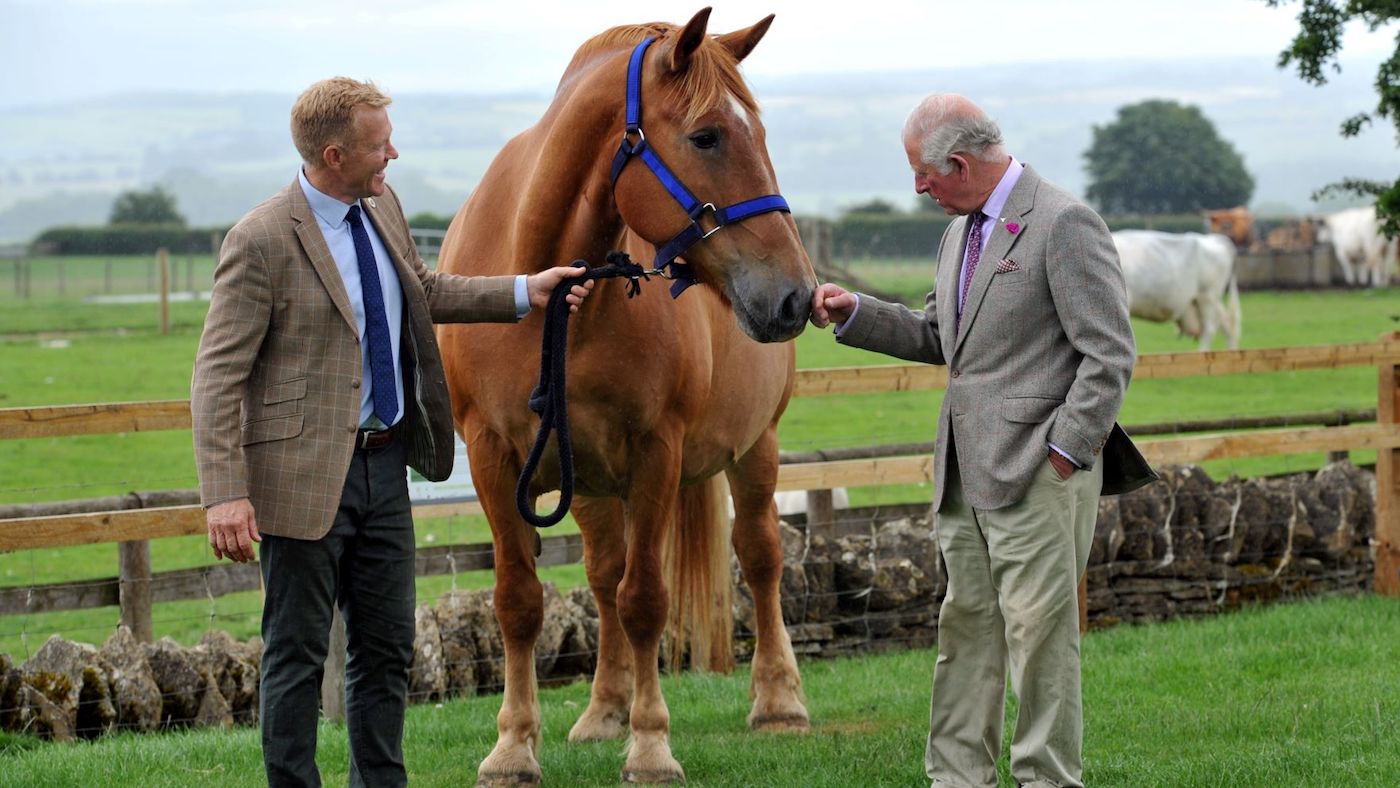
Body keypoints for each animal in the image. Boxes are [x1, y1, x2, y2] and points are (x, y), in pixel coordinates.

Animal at [435, 8, 816, 784]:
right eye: (707, 136)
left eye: (760, 134)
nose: (795, 295)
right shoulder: (493, 456)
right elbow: (520, 600)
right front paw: (513, 746)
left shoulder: (655, 452)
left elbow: (646, 600)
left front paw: (650, 745)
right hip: (587, 482)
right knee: (604, 574)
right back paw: (602, 710)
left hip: (754, 449)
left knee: (759, 556)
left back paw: (778, 702)